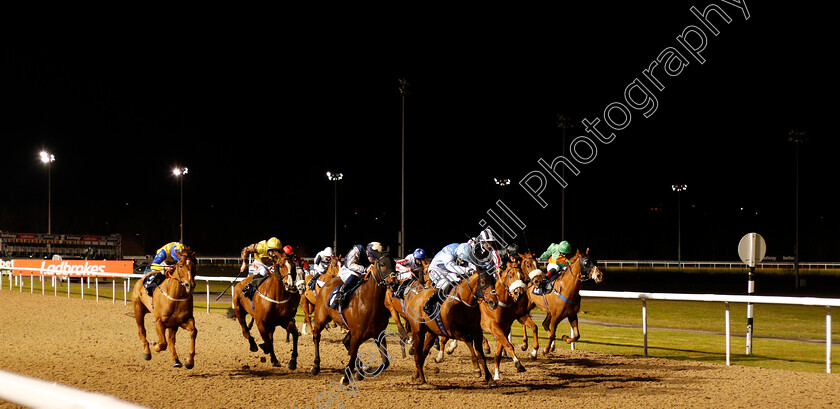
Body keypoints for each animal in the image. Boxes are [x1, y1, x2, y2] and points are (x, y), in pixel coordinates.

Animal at [308, 247, 400, 384]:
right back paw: (316, 366)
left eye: (394, 264)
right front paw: (346, 377)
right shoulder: (357, 335)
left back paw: (360, 369)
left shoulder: (378, 334)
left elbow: (385, 362)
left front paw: (361, 372)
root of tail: (325, 283)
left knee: (346, 343)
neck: (370, 303)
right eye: (382, 264)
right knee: (316, 337)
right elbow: (351, 358)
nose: (394, 283)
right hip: (321, 319)